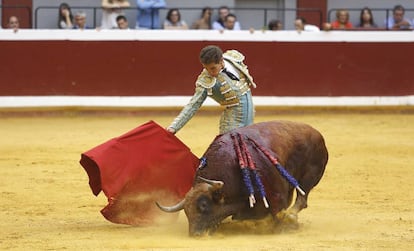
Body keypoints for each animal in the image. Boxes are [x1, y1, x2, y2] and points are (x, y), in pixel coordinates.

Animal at [157, 120, 328, 236]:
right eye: (186, 211)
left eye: (204, 205)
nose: (195, 234)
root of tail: (316, 133)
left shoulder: (276, 197)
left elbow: (277, 213)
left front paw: (283, 227)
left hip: (310, 175)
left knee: (302, 197)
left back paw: (291, 219)